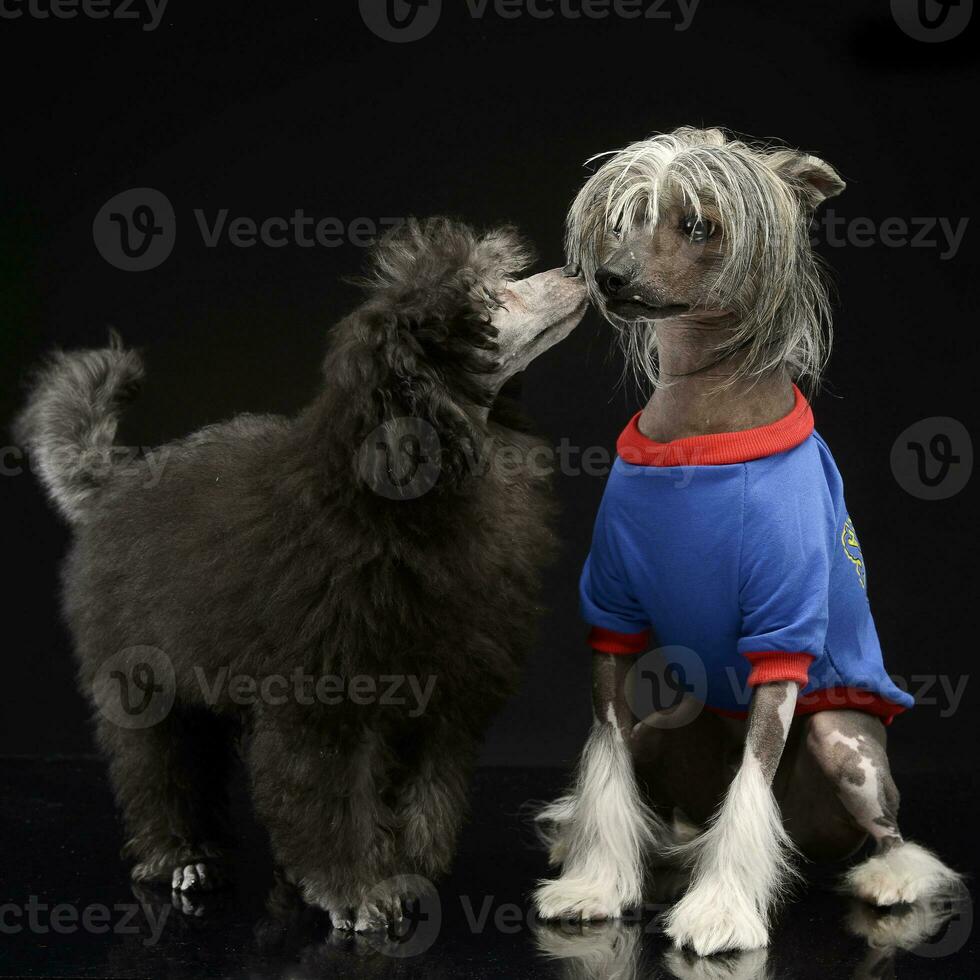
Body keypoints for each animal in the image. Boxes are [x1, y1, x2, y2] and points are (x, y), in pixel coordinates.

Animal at [532, 126, 960, 952]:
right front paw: (596, 883)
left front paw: (723, 909)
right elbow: (605, 768)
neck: (700, 432)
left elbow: (753, 782)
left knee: (885, 831)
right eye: (626, 219)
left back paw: (892, 878)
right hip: (664, 728)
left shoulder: (782, 636)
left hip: (844, 744)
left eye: (700, 225)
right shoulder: (612, 622)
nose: (609, 276)